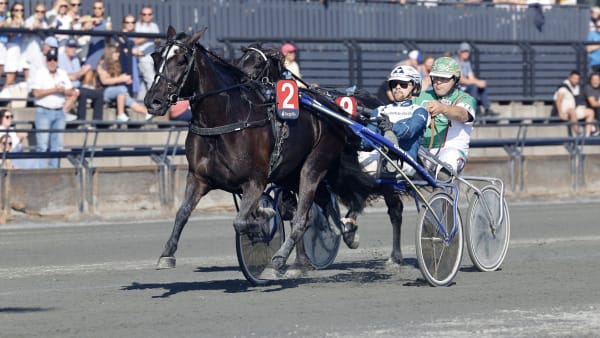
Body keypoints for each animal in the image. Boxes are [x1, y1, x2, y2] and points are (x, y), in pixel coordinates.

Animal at [143, 27, 372, 274]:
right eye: (155, 57)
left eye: (181, 60)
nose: (153, 101)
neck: (223, 120)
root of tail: (333, 109)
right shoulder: (198, 178)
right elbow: (182, 213)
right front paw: (167, 253)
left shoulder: (255, 180)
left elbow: (241, 221)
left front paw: (258, 225)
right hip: (290, 173)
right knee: (321, 204)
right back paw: (342, 231)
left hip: (313, 166)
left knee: (303, 217)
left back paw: (281, 259)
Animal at [237, 44, 410, 266]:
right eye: (240, 61)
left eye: (258, 63)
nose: (240, 87)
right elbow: (291, 210)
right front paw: (299, 259)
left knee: (393, 207)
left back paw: (394, 256)